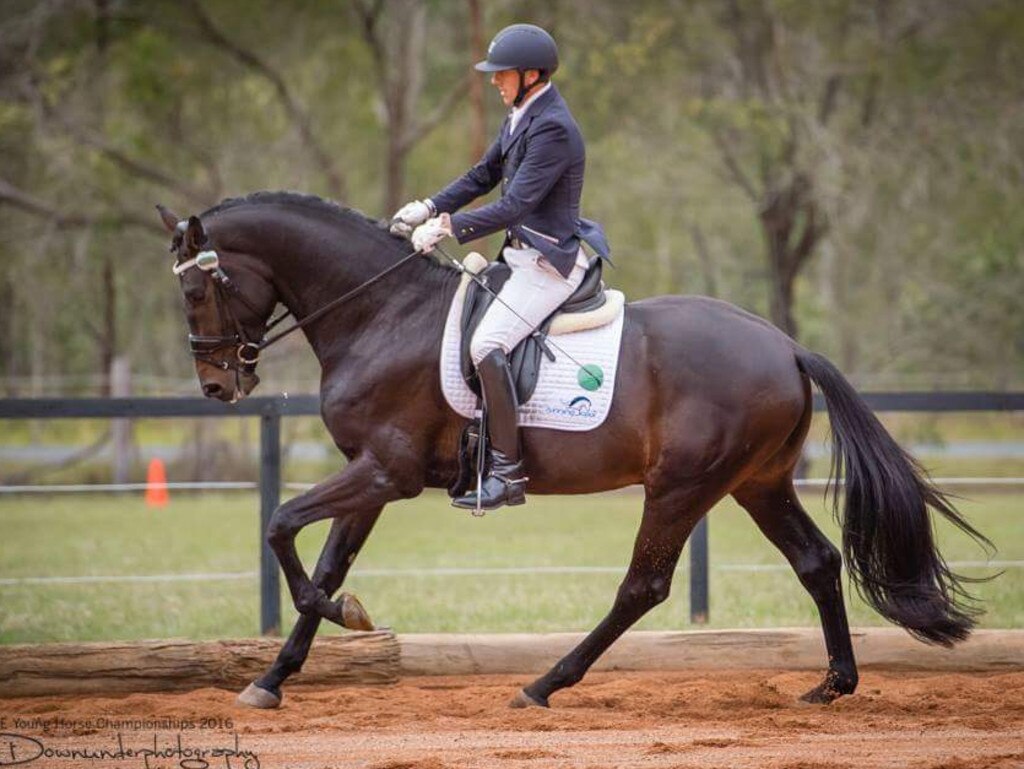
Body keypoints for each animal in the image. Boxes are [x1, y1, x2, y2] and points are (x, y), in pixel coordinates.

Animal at [155, 191, 987, 708]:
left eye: (195, 292)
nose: (218, 384)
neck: (381, 312)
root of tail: (785, 345)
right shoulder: (373, 476)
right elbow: (320, 560)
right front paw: (276, 675)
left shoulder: (385, 471)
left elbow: (281, 526)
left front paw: (344, 615)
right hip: (758, 483)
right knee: (816, 561)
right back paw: (832, 683)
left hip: (683, 485)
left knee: (642, 586)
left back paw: (545, 683)